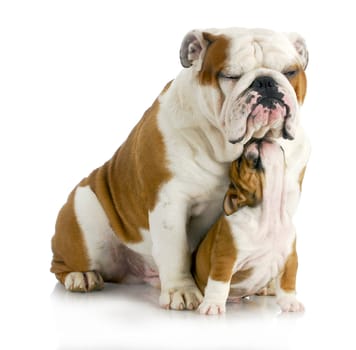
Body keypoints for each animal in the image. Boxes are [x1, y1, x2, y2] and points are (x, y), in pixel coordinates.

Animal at [196, 141, 304, 316]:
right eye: (240, 163)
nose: (255, 140)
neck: (269, 214)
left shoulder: (290, 258)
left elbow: (288, 282)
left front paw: (290, 302)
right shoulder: (225, 258)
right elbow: (219, 282)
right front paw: (213, 304)